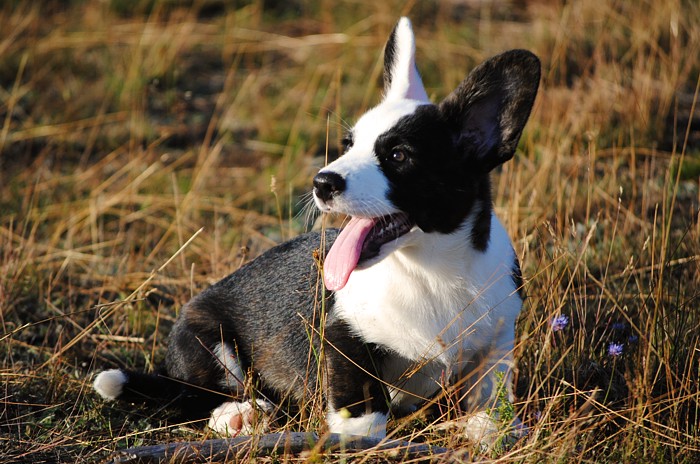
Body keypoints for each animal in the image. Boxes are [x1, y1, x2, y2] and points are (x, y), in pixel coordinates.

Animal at [94, 17, 540, 446]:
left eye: (399, 156)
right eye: (347, 145)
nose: (321, 182)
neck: (430, 269)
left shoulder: (498, 340)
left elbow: (490, 393)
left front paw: (492, 428)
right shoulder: (342, 333)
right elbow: (362, 402)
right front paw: (357, 438)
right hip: (208, 342)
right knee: (202, 397)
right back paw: (240, 415)